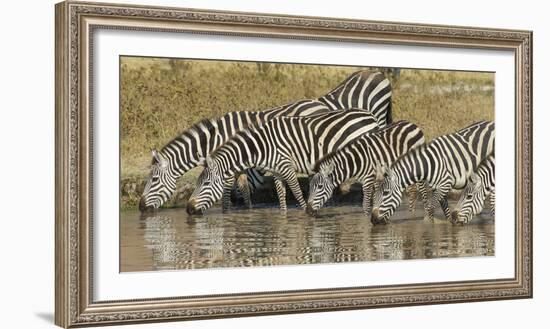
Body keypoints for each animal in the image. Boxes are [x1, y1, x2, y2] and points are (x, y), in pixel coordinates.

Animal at [140, 100, 334, 211]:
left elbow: (229, 191)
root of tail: (320, 104)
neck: (216, 139)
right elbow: (244, 190)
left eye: (154, 180)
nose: (140, 207)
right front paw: (246, 210)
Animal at [185, 109, 380, 214]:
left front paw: (304, 212)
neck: (261, 147)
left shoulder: (287, 167)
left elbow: (297, 193)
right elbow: (281, 196)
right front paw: (283, 217)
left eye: (206, 184)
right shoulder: (277, 172)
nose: (188, 209)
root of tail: (369, 115)